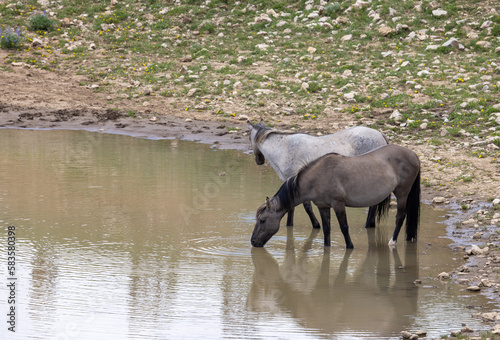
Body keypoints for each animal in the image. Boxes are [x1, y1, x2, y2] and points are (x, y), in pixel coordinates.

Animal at [249, 119, 386, 228]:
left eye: (249, 138)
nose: (259, 161)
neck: (284, 148)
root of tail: (380, 135)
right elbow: (291, 207)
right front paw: (289, 225)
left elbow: (307, 207)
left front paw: (316, 225)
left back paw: (369, 224)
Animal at [252, 143, 420, 247]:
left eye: (262, 220)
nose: (253, 242)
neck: (318, 177)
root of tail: (413, 154)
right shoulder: (323, 207)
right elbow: (327, 229)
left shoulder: (338, 204)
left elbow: (344, 227)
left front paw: (350, 246)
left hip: (402, 193)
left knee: (400, 217)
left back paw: (392, 242)